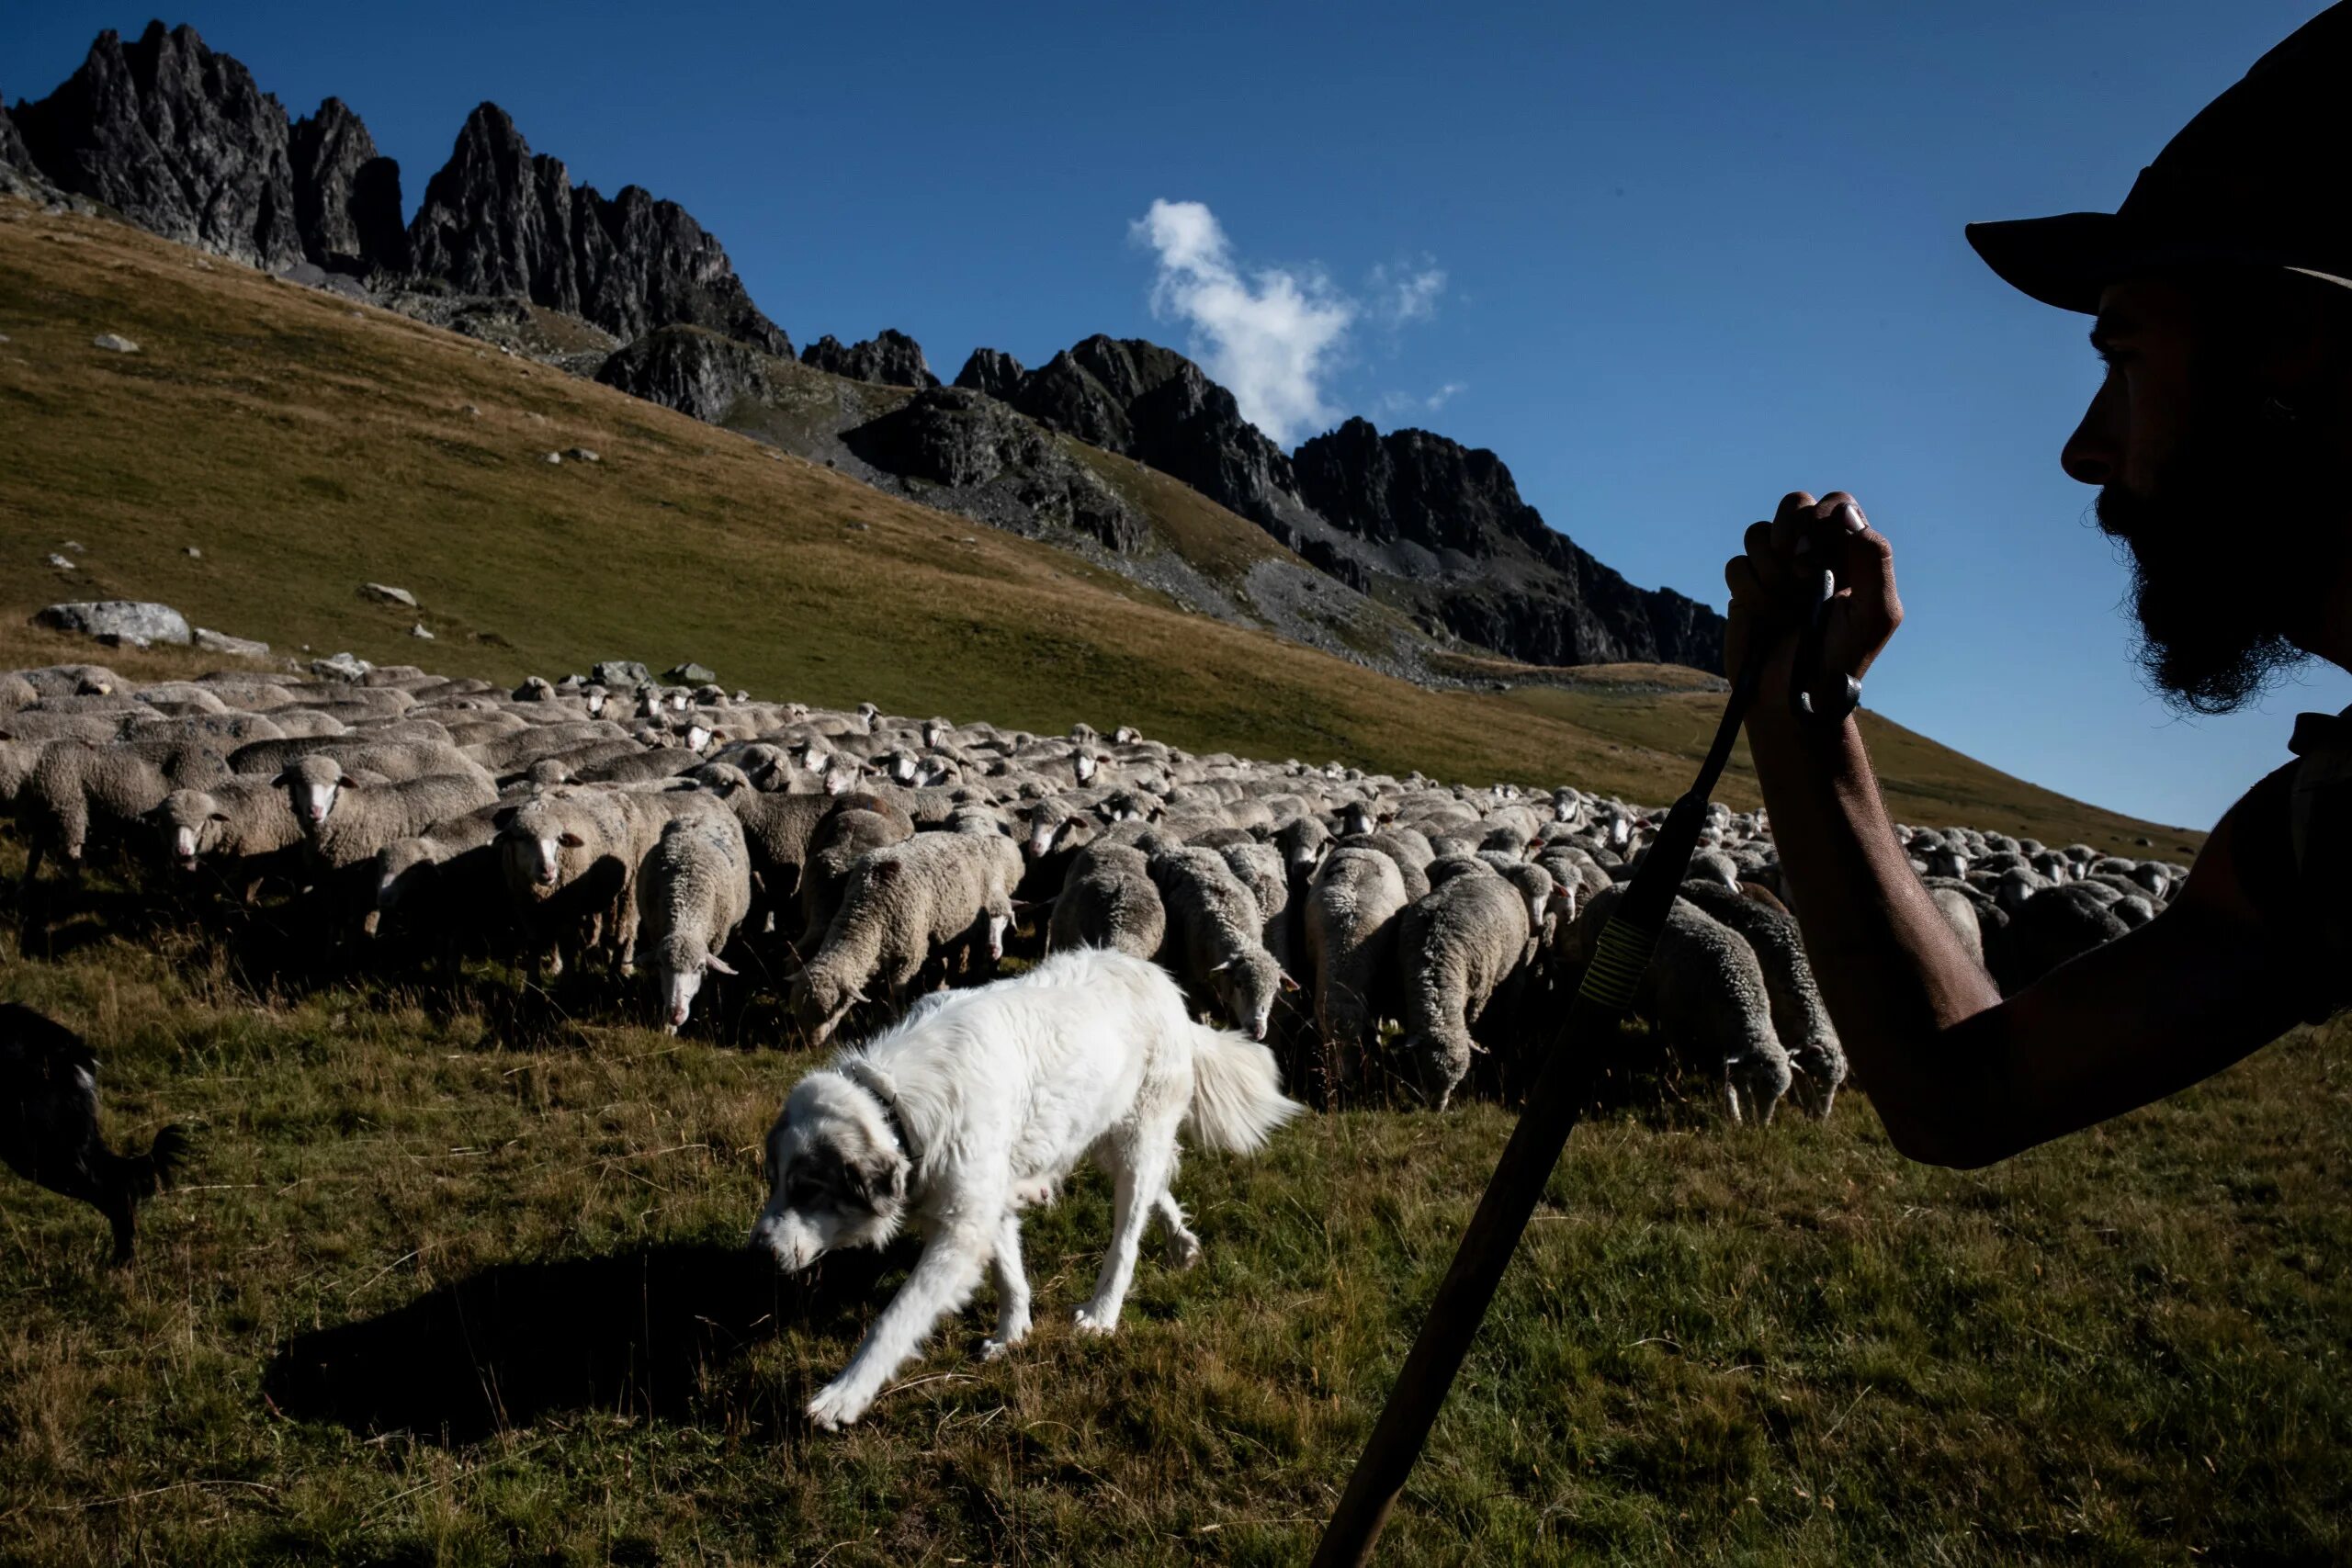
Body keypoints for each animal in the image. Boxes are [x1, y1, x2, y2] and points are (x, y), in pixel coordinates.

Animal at [635, 808, 752, 1029]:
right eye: (660, 964)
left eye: (699, 966)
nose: (675, 1014)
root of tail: (700, 813)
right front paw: (668, 1028)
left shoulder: (714, 943)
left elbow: (707, 982)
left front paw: (704, 1017)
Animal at [752, 944, 1307, 1438]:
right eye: (775, 1182)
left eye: (809, 1189)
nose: (760, 1252)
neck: (895, 1105)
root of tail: (1162, 982)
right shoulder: (985, 1202)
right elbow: (1009, 1276)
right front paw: (1013, 1333)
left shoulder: (960, 1229)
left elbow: (894, 1319)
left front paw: (843, 1394)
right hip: (1106, 1136)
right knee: (1158, 1187)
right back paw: (1181, 1243)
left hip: (1133, 1143)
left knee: (1127, 1238)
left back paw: (1102, 1314)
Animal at [1392, 864, 1543, 1109]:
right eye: (1428, 1075)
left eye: (1456, 1082)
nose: (1437, 1108)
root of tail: (1484, 873)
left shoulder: (1479, 993)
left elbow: (1471, 1019)